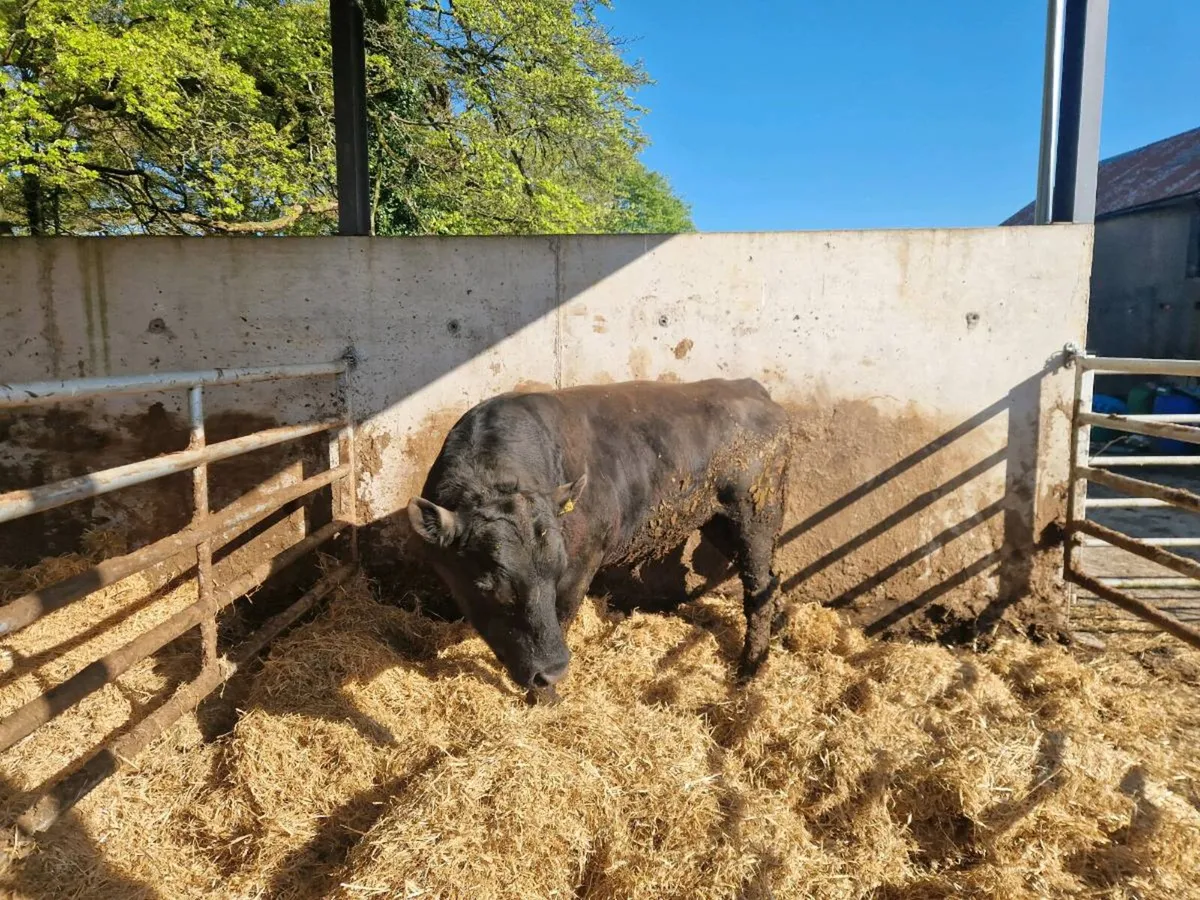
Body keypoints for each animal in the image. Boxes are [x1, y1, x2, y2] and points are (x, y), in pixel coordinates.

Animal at [406, 378, 792, 699]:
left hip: (755, 516)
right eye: (486, 585)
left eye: (557, 571)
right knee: (773, 580)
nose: (552, 671)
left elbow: (563, 615)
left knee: (758, 589)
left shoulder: (582, 566)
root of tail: (752, 388)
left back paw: (750, 667)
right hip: (719, 521)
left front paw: (545, 697)